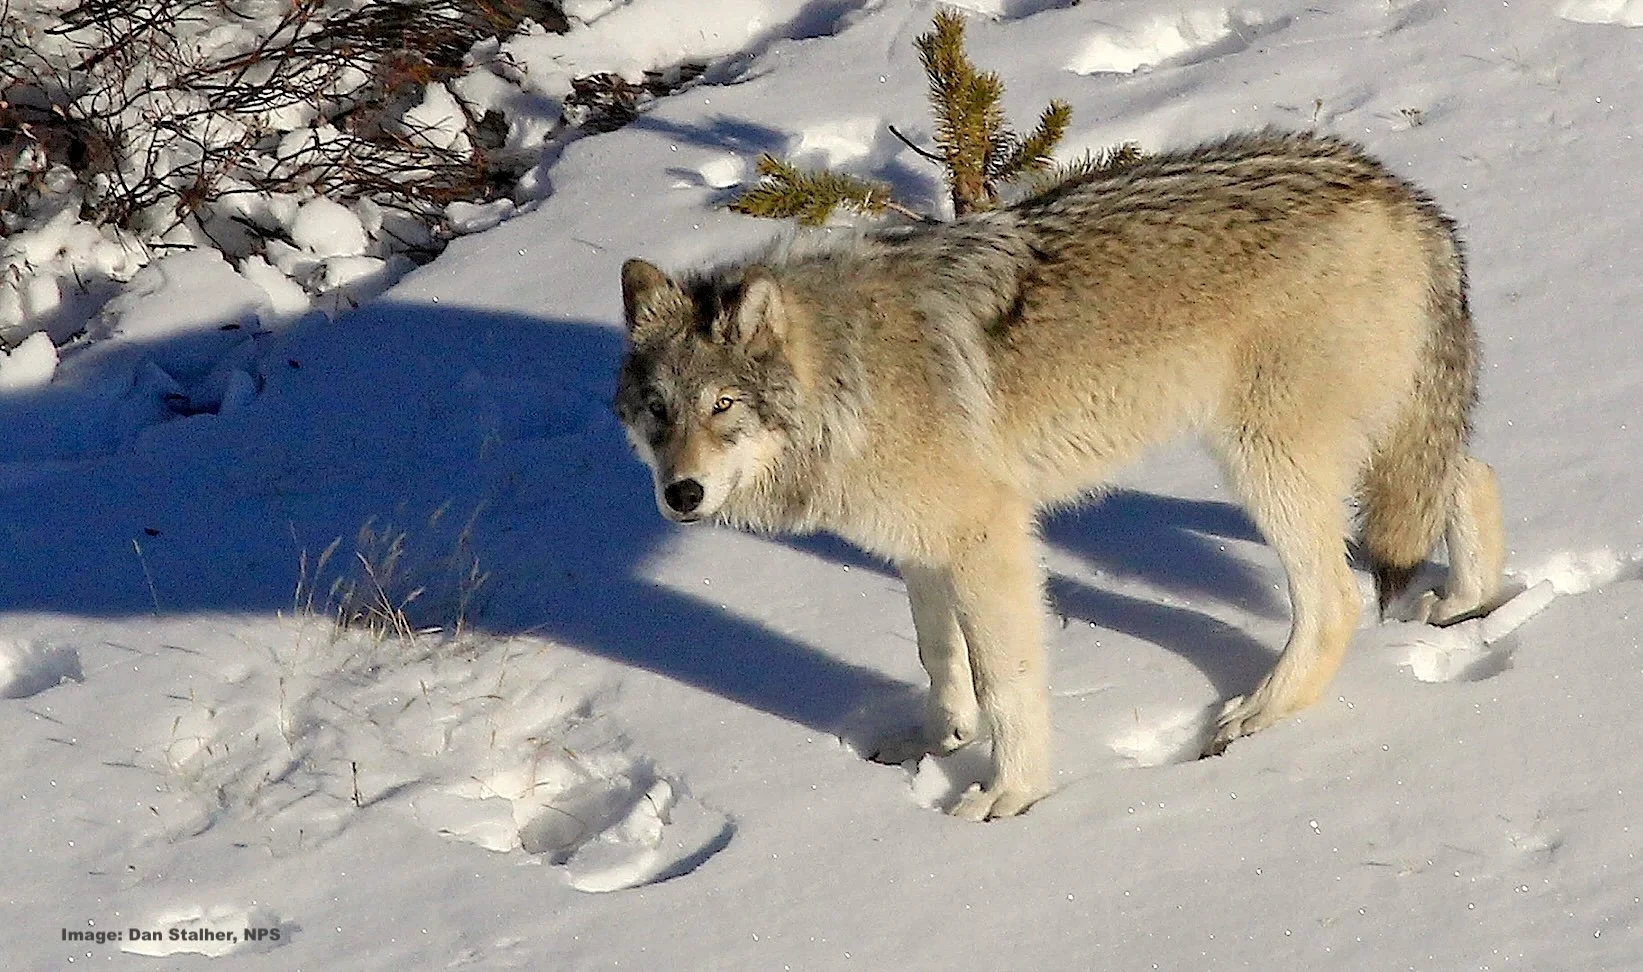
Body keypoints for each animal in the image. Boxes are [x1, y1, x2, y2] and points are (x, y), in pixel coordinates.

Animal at [612, 129, 1505, 821]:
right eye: (658, 410)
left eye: (723, 406)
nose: (680, 494)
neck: (849, 373)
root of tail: (1399, 191)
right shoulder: (920, 547)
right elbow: (937, 658)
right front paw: (936, 742)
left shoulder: (988, 538)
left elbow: (1005, 682)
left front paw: (1010, 796)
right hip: (1371, 440)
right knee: (1470, 474)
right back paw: (1467, 603)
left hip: (1265, 461)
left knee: (1337, 600)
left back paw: (1256, 715)